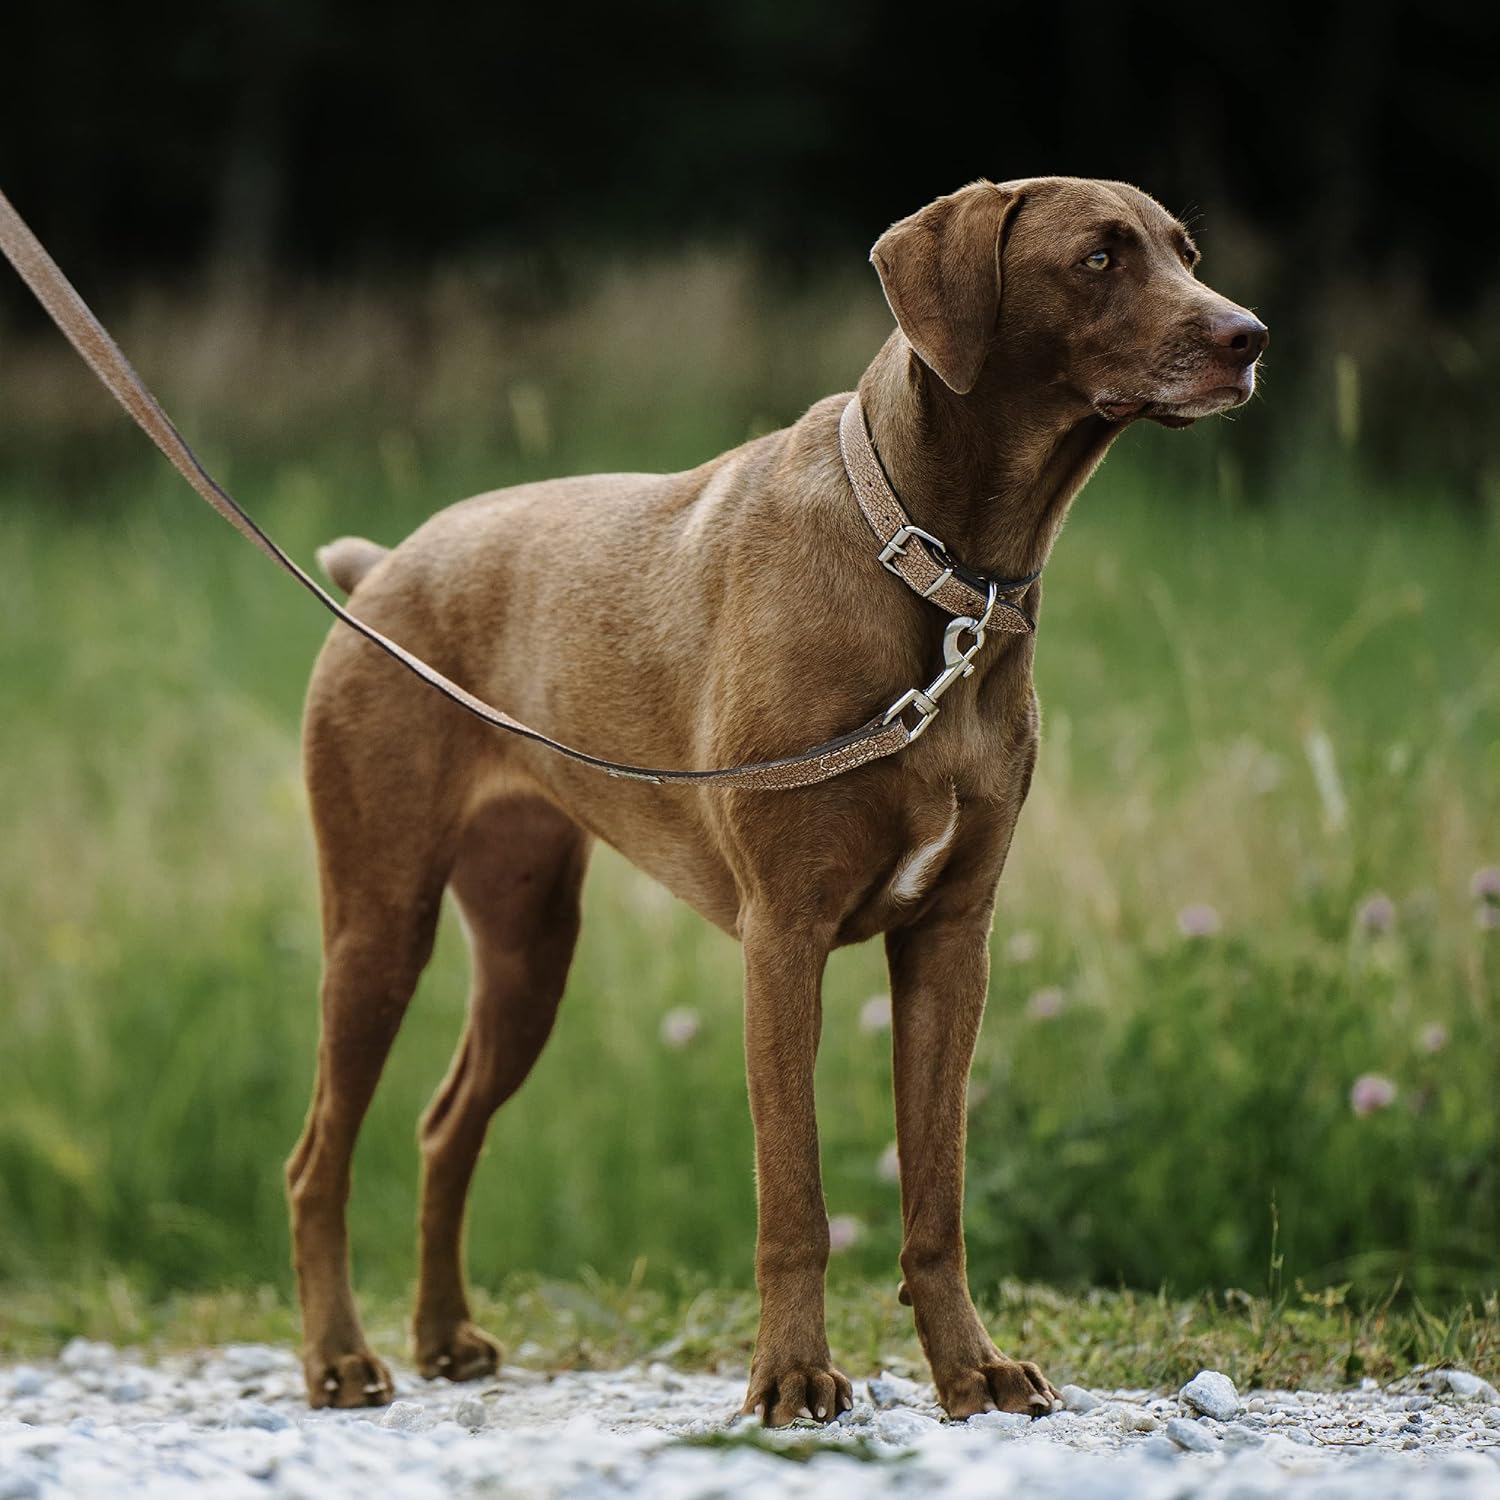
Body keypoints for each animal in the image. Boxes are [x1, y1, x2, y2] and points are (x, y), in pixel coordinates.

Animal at [283, 175, 1266, 1416]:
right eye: (1098, 257)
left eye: (1186, 252)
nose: (1251, 337)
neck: (937, 571)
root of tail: (381, 571)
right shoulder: (783, 935)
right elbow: (794, 1193)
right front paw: (794, 1376)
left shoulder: (952, 938)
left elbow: (937, 1195)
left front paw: (971, 1368)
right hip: (379, 921)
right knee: (317, 1157)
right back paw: (339, 1357)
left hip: (528, 947)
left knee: (444, 1127)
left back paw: (444, 1334)